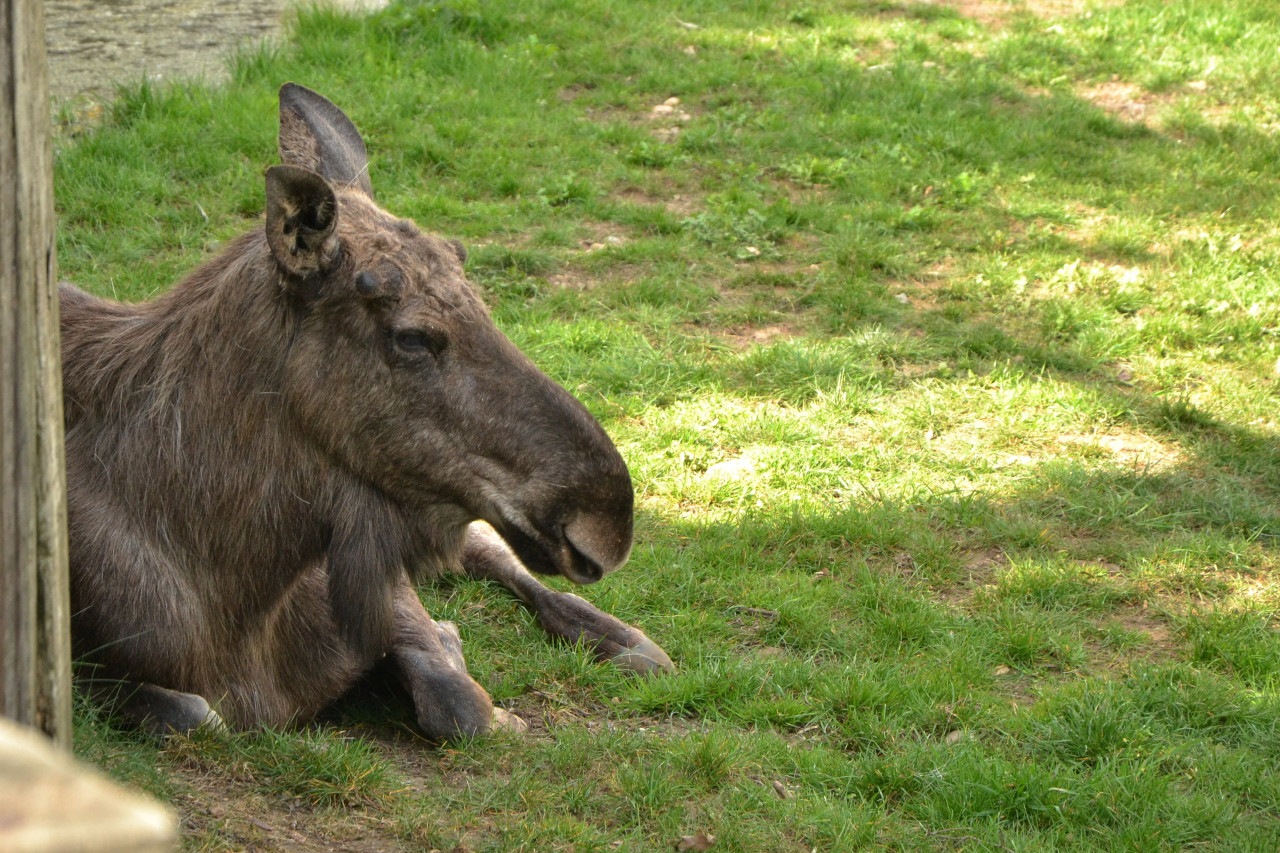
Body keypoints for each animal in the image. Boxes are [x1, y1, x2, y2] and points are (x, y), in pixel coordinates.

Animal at [62, 83, 670, 742]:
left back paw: (622, 638)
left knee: (492, 552)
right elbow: (194, 714)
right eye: (412, 337)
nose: (608, 519)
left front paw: (460, 655)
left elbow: (459, 703)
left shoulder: (374, 587)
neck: (241, 595)